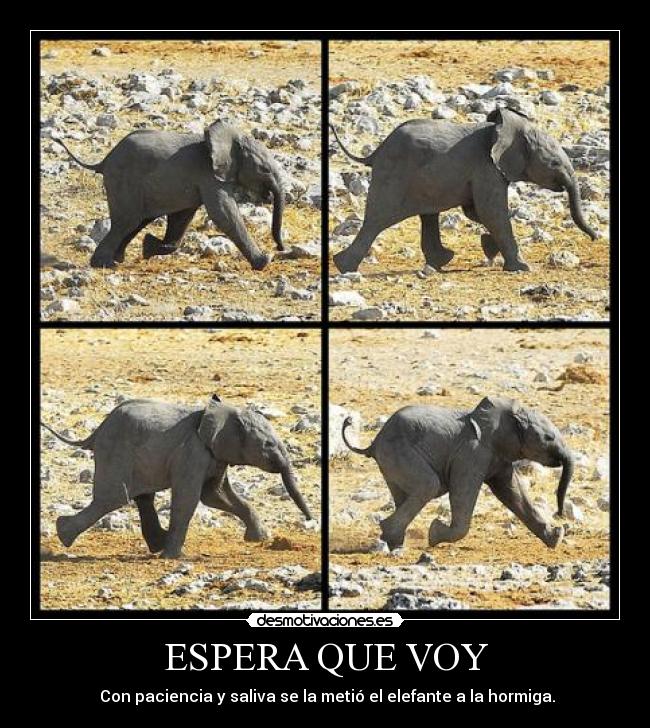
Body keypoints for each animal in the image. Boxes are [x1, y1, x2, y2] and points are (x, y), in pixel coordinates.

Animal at [41, 395, 313, 559]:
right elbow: (189, 499)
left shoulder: (214, 456)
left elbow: (215, 496)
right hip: (115, 452)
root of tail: (97, 430)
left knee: (141, 497)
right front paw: (173, 558)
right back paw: (63, 534)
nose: (311, 521)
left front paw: (258, 539)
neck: (224, 411)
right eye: (268, 445)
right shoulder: (192, 452)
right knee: (113, 498)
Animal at [56, 120, 287, 270]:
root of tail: (104, 160)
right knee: (127, 222)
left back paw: (118, 259)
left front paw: (150, 247)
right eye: (264, 169)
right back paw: (105, 264)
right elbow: (223, 214)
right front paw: (264, 262)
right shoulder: (208, 176)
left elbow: (182, 216)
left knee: (135, 222)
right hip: (123, 182)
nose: (280, 248)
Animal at [330, 107, 598, 273]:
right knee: (377, 220)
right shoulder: (487, 168)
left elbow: (478, 212)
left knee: (427, 216)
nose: (596, 237)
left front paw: (489, 249)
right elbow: (491, 212)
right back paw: (344, 267)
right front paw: (523, 268)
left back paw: (441, 262)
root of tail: (376, 151)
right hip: (394, 177)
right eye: (554, 164)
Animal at [341, 396, 574, 551]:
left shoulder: (498, 457)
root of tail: (374, 442)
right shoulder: (471, 454)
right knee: (428, 485)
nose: (560, 515)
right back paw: (391, 537)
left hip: (391, 458)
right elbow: (463, 492)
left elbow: (513, 493)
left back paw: (395, 543)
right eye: (549, 438)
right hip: (399, 451)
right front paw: (434, 533)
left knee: (405, 495)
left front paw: (555, 538)